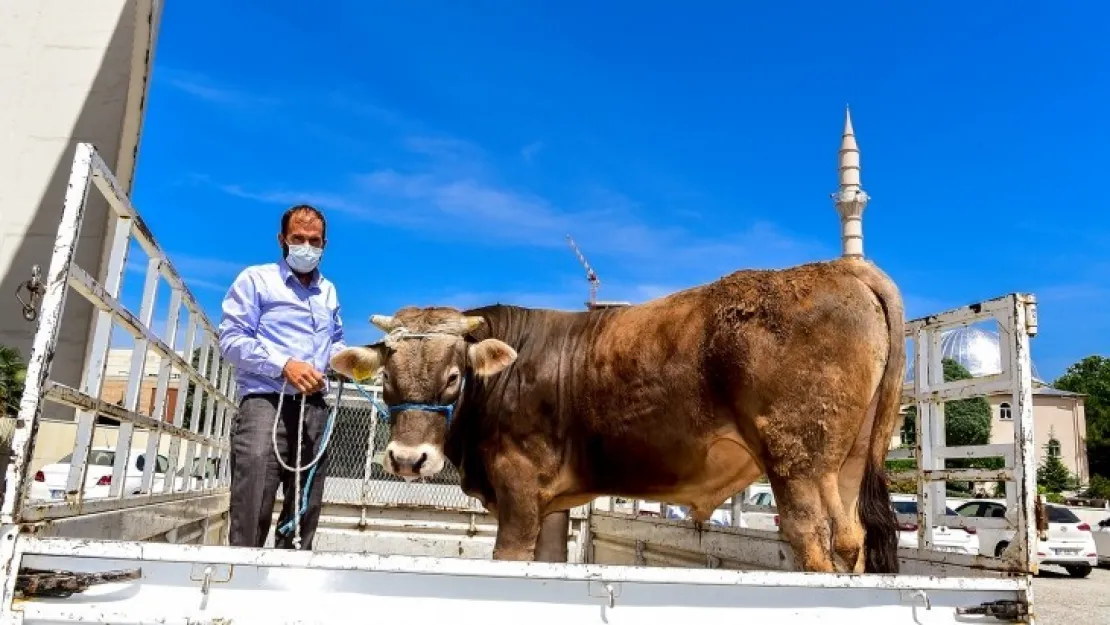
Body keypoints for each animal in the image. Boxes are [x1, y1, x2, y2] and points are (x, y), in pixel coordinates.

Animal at [333, 256, 905, 572]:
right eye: (387, 374)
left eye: (454, 377)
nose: (407, 460)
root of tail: (841, 267)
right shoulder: (551, 504)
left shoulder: (517, 487)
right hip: (848, 461)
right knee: (852, 541)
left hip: (797, 462)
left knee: (814, 540)